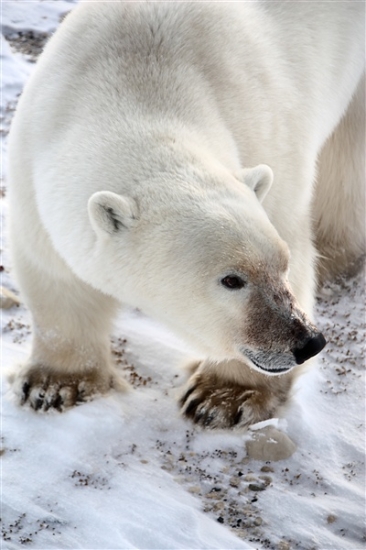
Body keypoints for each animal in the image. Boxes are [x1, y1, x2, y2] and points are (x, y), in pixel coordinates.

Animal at [7, 1, 364, 432]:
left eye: (282, 264)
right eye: (231, 279)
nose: (307, 342)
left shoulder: (267, 132)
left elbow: (289, 224)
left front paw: (224, 396)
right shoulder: (34, 167)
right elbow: (55, 276)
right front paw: (54, 386)